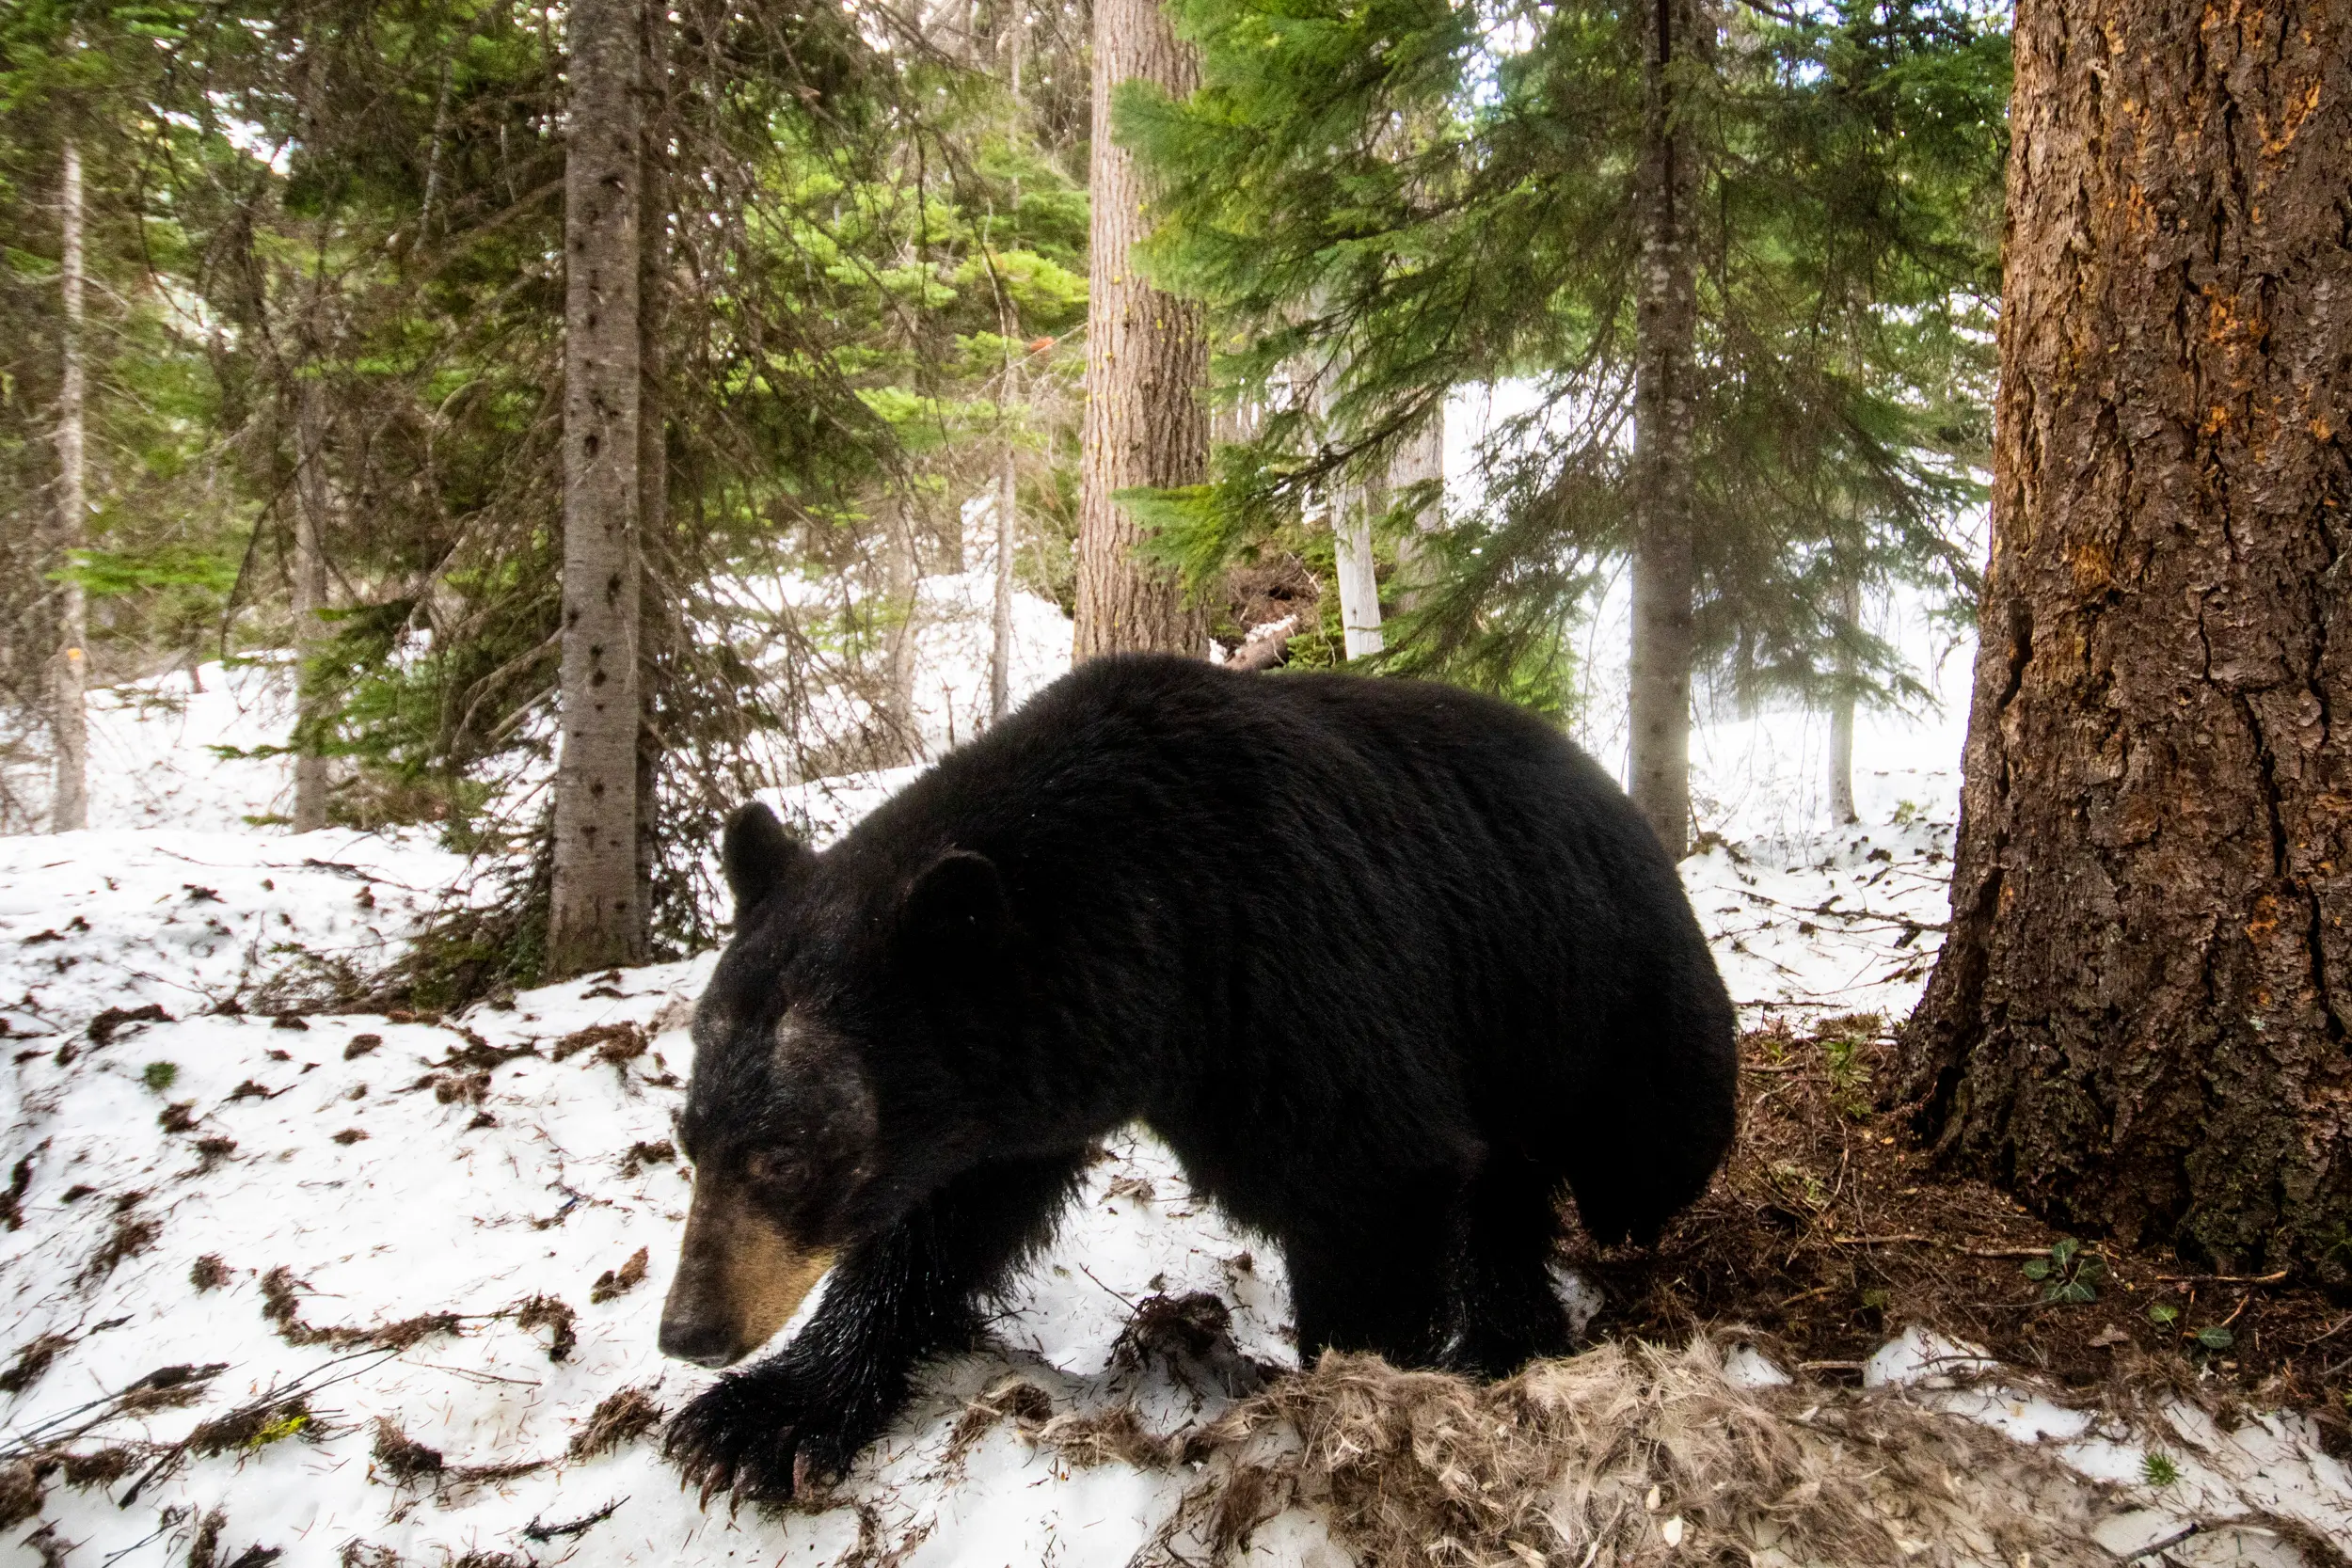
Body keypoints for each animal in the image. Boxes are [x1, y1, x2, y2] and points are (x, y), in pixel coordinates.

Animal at [658, 653, 1738, 1501]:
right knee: (1506, 1188)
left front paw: (1350, 1398)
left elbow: (1372, 1171)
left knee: (1651, 1146)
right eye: (691, 1137)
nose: (689, 1328)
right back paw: (1509, 1333)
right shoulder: (1031, 1063)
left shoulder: (1293, 960)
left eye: (787, 1154)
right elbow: (941, 1220)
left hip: (1603, 992)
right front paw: (762, 1419)